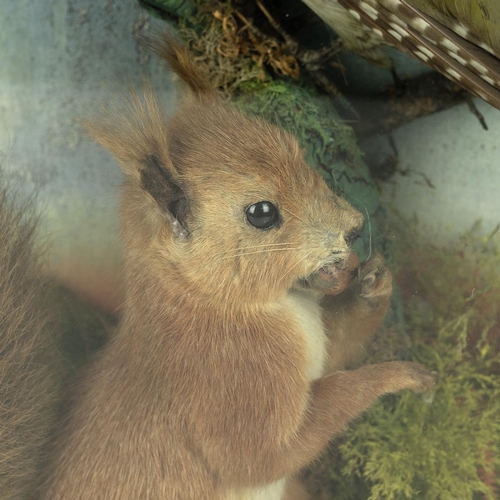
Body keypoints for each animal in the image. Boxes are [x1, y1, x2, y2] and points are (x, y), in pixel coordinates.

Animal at [1, 34, 434, 500]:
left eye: (296, 150)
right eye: (261, 213)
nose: (354, 227)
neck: (212, 304)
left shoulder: (316, 348)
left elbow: (339, 349)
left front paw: (375, 282)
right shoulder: (231, 401)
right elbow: (282, 443)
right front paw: (398, 375)